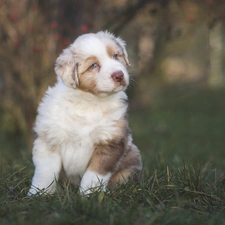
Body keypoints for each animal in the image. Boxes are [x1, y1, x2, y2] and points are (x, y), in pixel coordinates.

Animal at [27, 30, 142, 195]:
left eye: (115, 56)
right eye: (94, 65)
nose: (119, 75)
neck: (89, 101)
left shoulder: (110, 141)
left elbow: (94, 174)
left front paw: (89, 195)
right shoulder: (49, 139)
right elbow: (45, 172)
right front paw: (38, 194)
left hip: (132, 155)